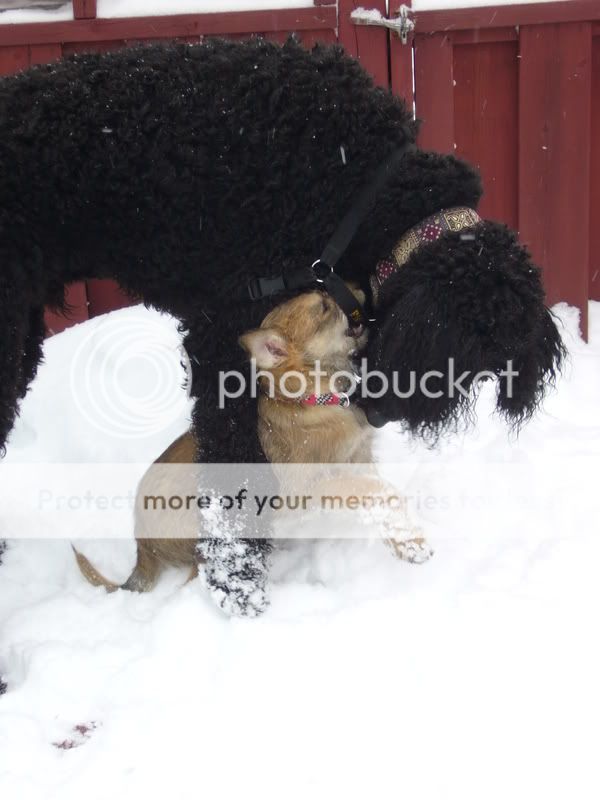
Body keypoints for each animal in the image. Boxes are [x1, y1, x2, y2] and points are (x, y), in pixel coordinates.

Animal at [75, 290, 432, 592]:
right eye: (324, 307)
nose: (359, 291)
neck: (312, 401)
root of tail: (142, 545)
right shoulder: (311, 486)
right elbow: (376, 491)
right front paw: (413, 543)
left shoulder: (359, 459)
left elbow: (379, 494)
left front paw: (400, 540)